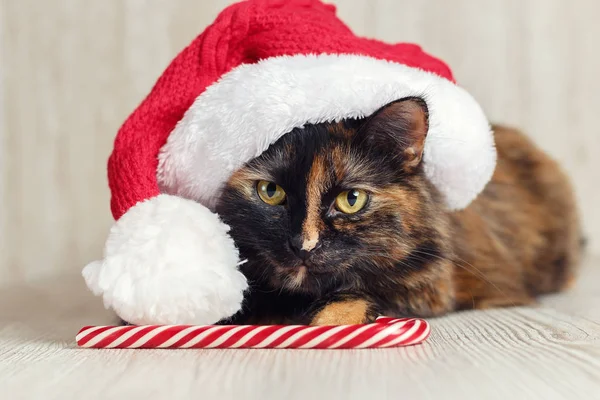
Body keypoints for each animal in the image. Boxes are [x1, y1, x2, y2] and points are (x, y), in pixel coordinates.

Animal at [214, 98, 580, 326]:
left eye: (352, 199)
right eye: (270, 192)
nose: (304, 246)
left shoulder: (430, 283)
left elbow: (356, 295)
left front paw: (324, 321)